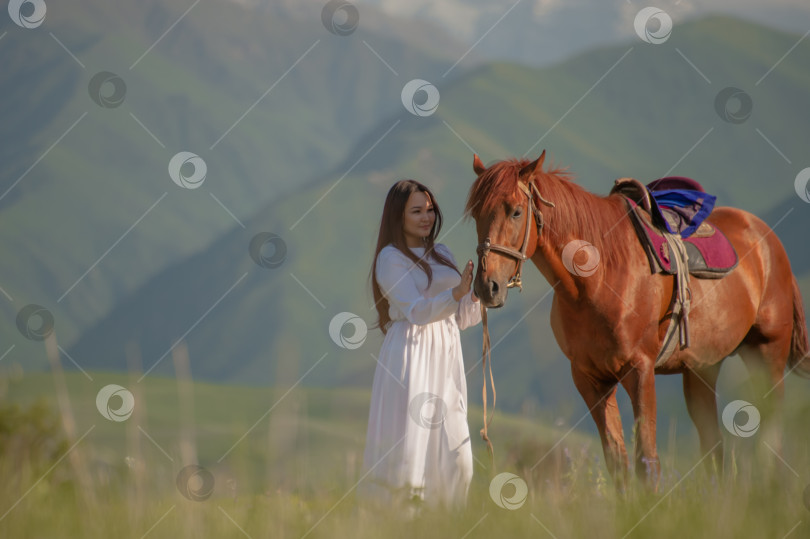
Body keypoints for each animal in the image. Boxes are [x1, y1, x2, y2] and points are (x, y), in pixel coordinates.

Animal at [464, 151, 804, 490]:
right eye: (476, 214)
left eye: (516, 212)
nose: (486, 287)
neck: (598, 278)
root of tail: (767, 239)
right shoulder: (590, 378)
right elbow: (617, 461)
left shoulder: (640, 370)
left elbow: (646, 461)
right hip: (702, 369)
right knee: (713, 446)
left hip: (767, 355)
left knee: (771, 438)